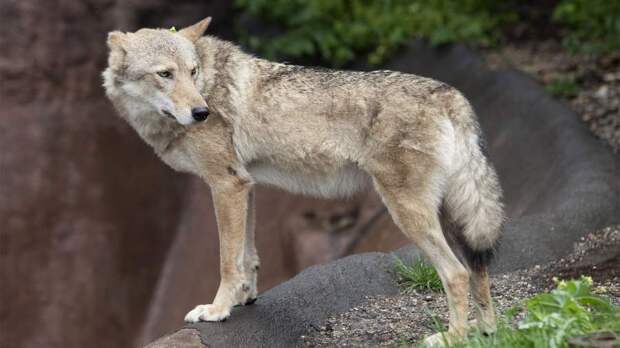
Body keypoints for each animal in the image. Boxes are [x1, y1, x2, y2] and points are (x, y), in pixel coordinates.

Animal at [104, 17, 506, 346]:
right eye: (165, 74)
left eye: (192, 71)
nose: (202, 112)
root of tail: (450, 94)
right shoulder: (246, 185)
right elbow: (248, 256)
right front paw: (245, 298)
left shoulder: (225, 185)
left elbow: (227, 261)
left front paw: (218, 310)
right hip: (451, 216)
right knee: (478, 269)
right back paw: (486, 330)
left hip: (408, 214)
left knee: (456, 274)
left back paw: (453, 336)